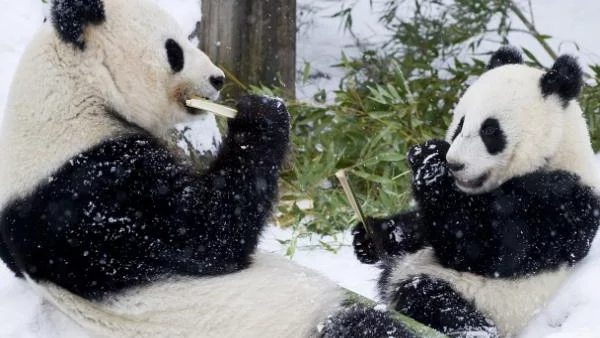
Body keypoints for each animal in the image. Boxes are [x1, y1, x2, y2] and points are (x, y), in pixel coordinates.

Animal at [0, 0, 424, 338]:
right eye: (174, 50)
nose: (218, 78)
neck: (75, 94)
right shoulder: (93, 192)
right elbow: (209, 232)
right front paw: (261, 114)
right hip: (300, 322)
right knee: (364, 326)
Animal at [352, 45, 600, 338]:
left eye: (490, 130)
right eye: (460, 124)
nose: (454, 164)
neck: (556, 152)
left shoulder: (562, 202)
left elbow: (487, 246)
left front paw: (431, 163)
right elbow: (422, 226)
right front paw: (369, 237)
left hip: (483, 299)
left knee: (435, 302)